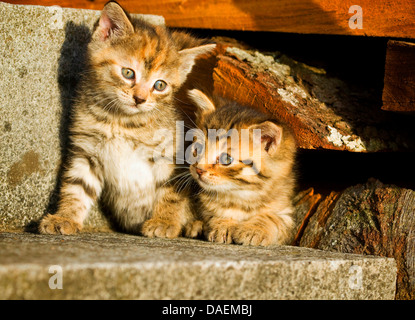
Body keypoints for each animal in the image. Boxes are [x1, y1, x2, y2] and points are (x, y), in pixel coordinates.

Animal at [39, 1, 216, 238]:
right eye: (128, 73)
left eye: (160, 85)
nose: (139, 99)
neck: (122, 121)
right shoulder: (85, 151)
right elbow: (76, 186)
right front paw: (65, 217)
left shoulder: (172, 157)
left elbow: (171, 192)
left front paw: (164, 221)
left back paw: (195, 225)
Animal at [187, 89, 298, 246]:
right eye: (198, 148)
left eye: (226, 159)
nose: (199, 169)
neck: (241, 197)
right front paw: (223, 222)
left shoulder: (287, 214)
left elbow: (274, 219)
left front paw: (255, 229)